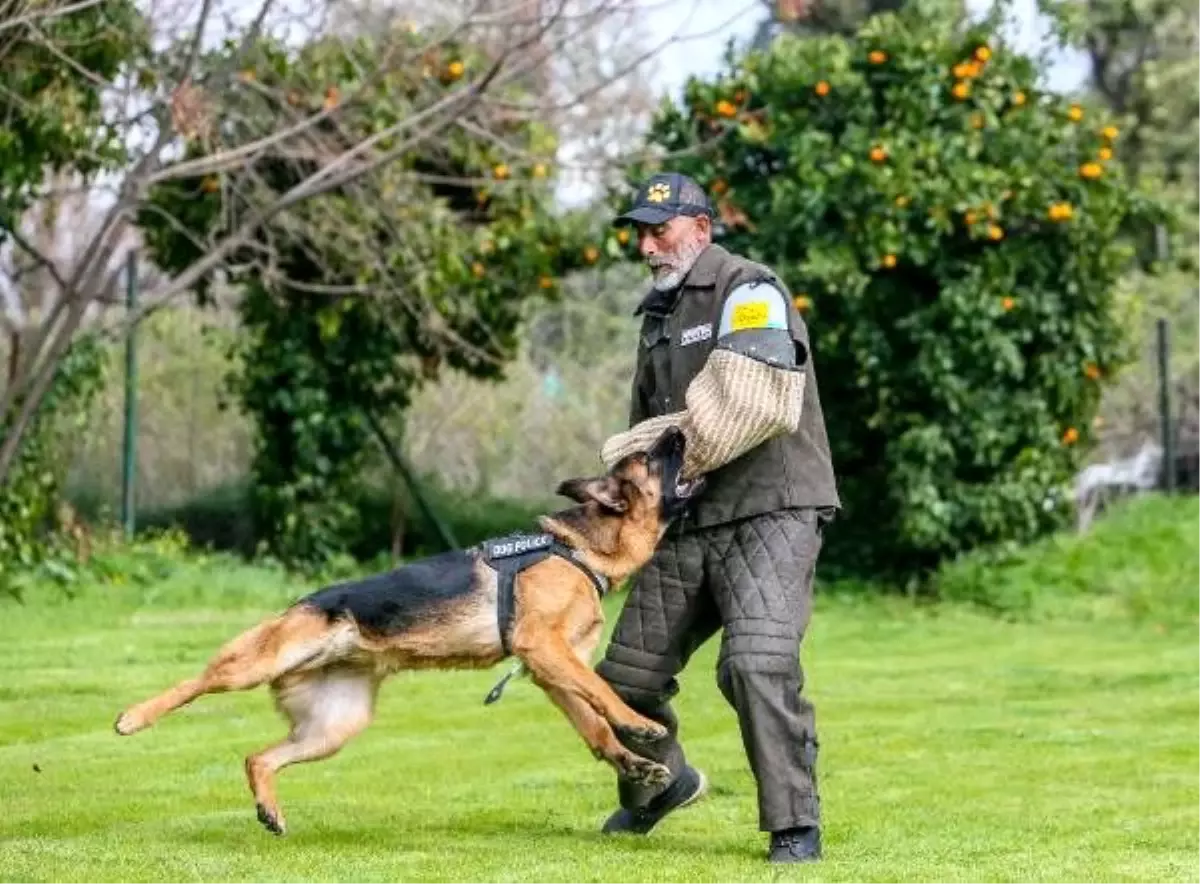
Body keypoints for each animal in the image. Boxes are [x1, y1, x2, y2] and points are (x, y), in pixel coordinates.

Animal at [113, 424, 700, 830]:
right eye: (650, 459)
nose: (678, 430)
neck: (579, 550)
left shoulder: (550, 669)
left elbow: (592, 723)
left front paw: (631, 762)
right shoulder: (544, 649)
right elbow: (602, 692)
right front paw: (640, 727)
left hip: (334, 728)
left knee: (256, 757)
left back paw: (268, 809)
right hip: (260, 662)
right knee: (197, 681)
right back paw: (133, 717)